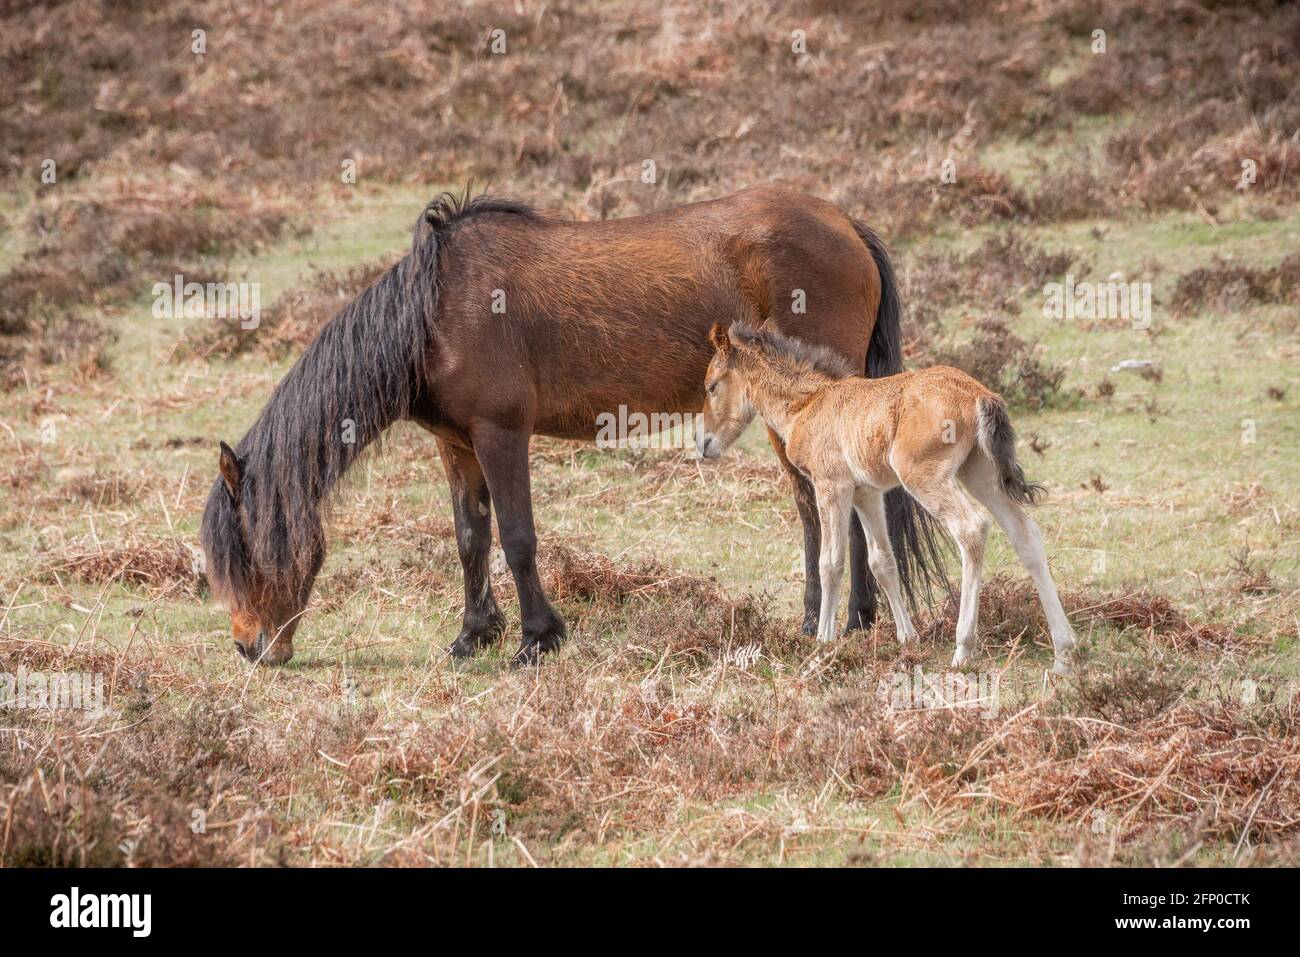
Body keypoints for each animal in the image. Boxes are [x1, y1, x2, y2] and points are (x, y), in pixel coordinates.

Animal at [200, 185, 946, 666]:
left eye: (245, 551)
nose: (250, 647)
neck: (435, 313)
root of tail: (846, 225)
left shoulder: (501, 435)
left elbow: (518, 537)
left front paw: (537, 639)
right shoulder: (455, 445)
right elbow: (471, 539)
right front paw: (473, 637)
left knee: (827, 510)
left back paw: (838, 621)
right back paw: (842, 620)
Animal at [695, 321, 1077, 675]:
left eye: (711, 386)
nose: (704, 443)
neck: (808, 403)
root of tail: (978, 393)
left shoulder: (831, 486)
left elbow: (830, 562)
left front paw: (822, 643)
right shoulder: (867, 495)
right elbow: (882, 561)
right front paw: (908, 637)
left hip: (924, 476)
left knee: (971, 528)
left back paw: (963, 649)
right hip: (979, 473)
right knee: (1025, 534)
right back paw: (1063, 653)